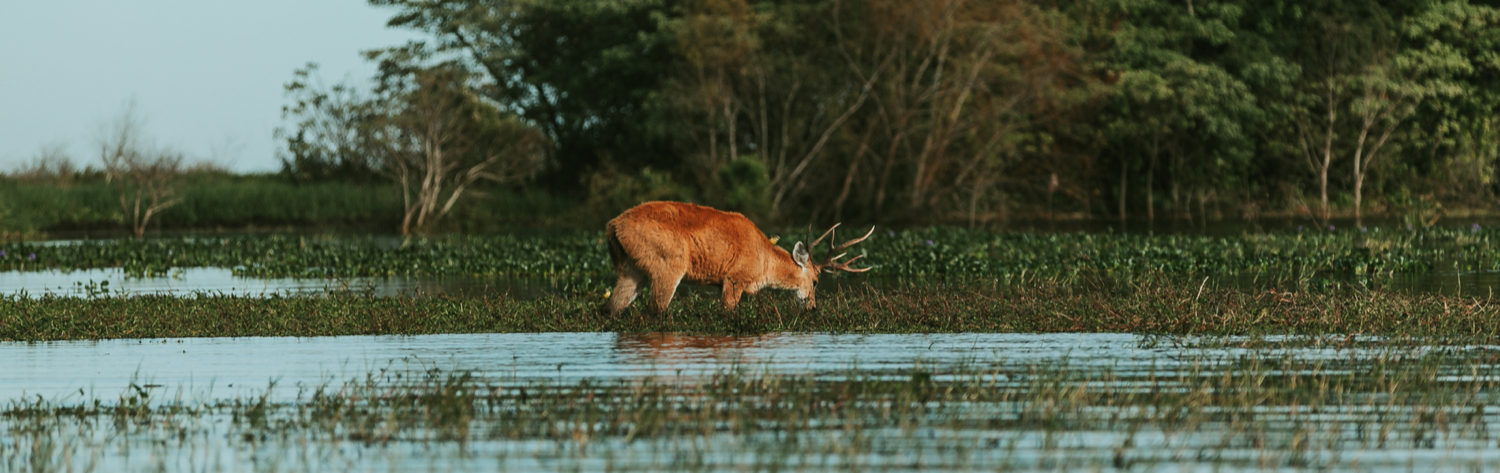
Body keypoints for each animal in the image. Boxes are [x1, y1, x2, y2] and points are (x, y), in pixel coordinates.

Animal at [603, 201, 873, 317]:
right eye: (816, 281)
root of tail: (613, 226)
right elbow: (727, 314)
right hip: (668, 264)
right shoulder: (734, 278)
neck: (764, 262)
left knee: (611, 307)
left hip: (633, 269)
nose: (812, 307)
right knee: (655, 310)